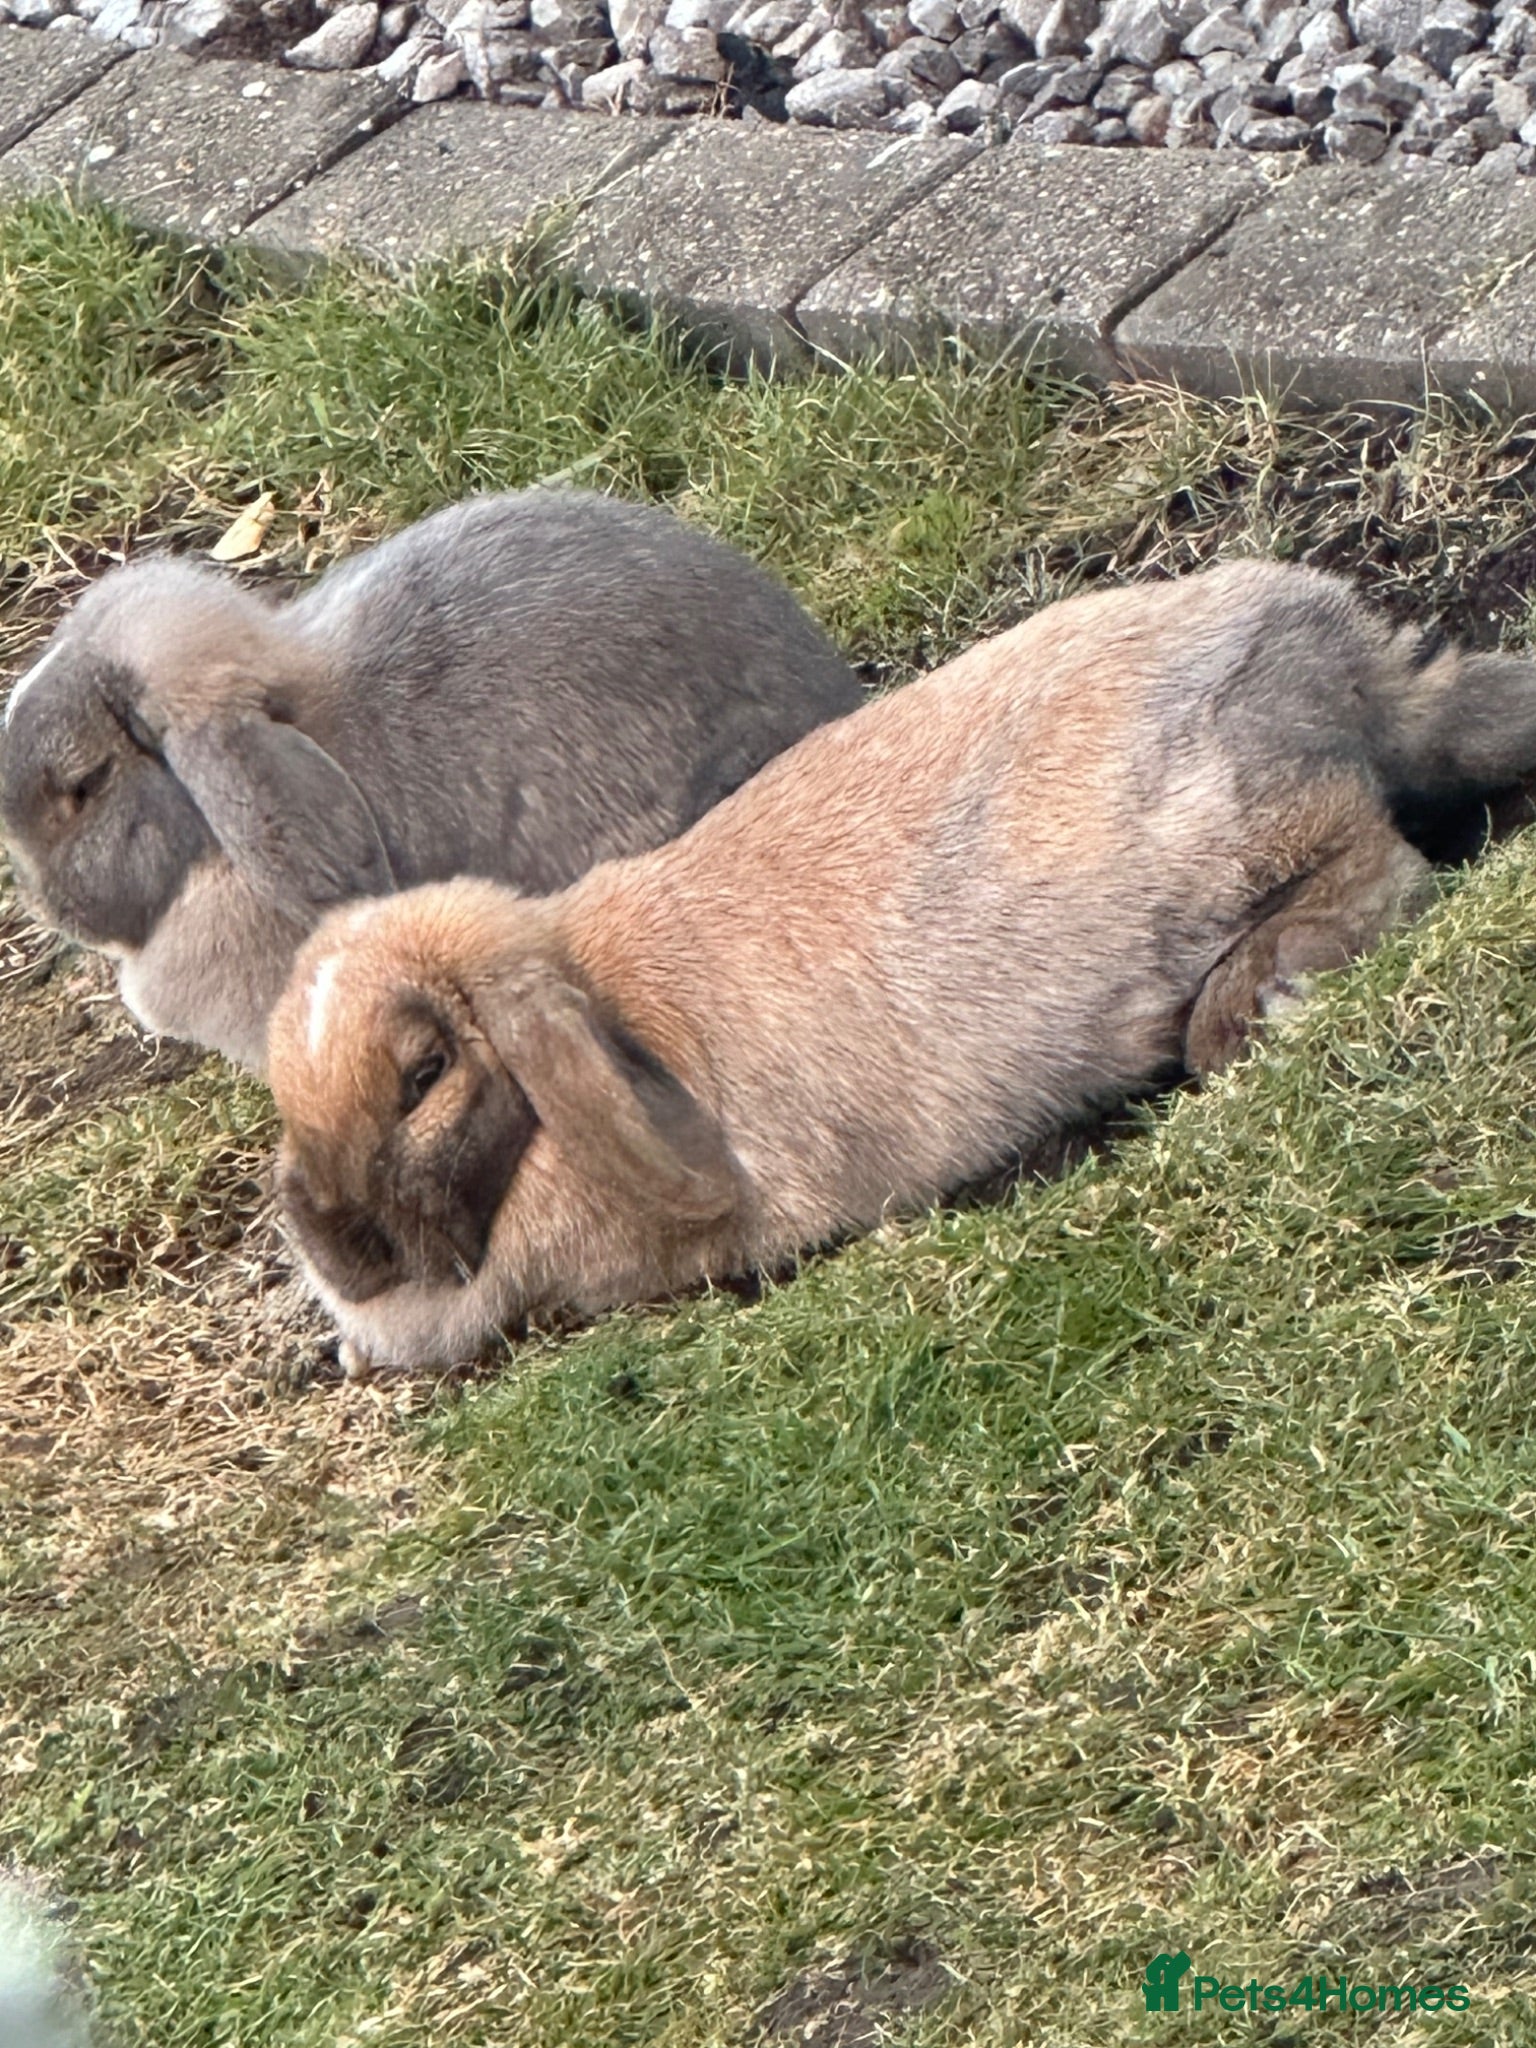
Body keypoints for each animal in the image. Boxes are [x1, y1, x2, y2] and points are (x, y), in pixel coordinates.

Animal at [266, 558, 1536, 1376]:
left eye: (423, 1072)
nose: (332, 1242)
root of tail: (1341, 654)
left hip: (1233, 830)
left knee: (1379, 856)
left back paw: (1259, 996)